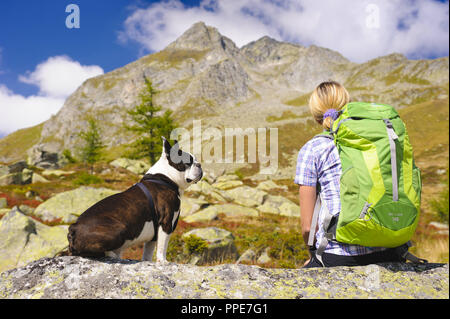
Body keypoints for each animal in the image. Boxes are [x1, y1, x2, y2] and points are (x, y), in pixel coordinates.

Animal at [67, 139, 203, 264]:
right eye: (188, 162)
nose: (199, 164)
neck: (166, 178)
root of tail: (74, 228)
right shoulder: (166, 223)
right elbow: (162, 247)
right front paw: (163, 261)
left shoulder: (153, 236)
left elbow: (148, 251)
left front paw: (148, 261)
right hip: (119, 229)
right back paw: (113, 255)